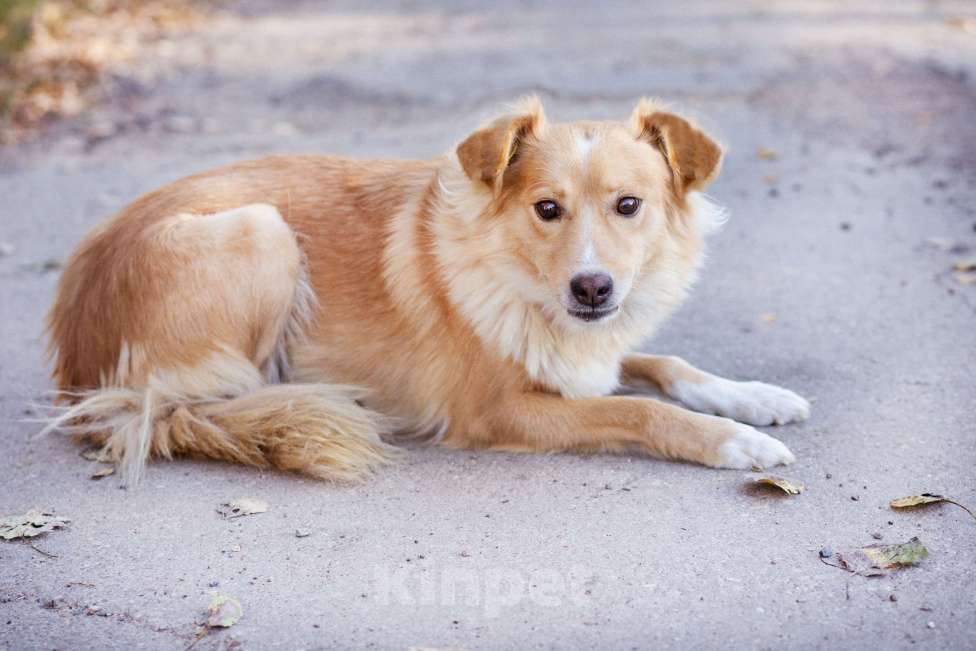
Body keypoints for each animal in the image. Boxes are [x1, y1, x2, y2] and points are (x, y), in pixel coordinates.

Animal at [43, 97, 808, 484]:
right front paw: (732, 441)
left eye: (629, 205)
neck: (515, 276)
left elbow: (665, 363)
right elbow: (639, 410)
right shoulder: (500, 411)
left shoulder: (593, 348)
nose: (592, 288)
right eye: (547, 208)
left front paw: (756, 399)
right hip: (264, 232)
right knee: (214, 405)